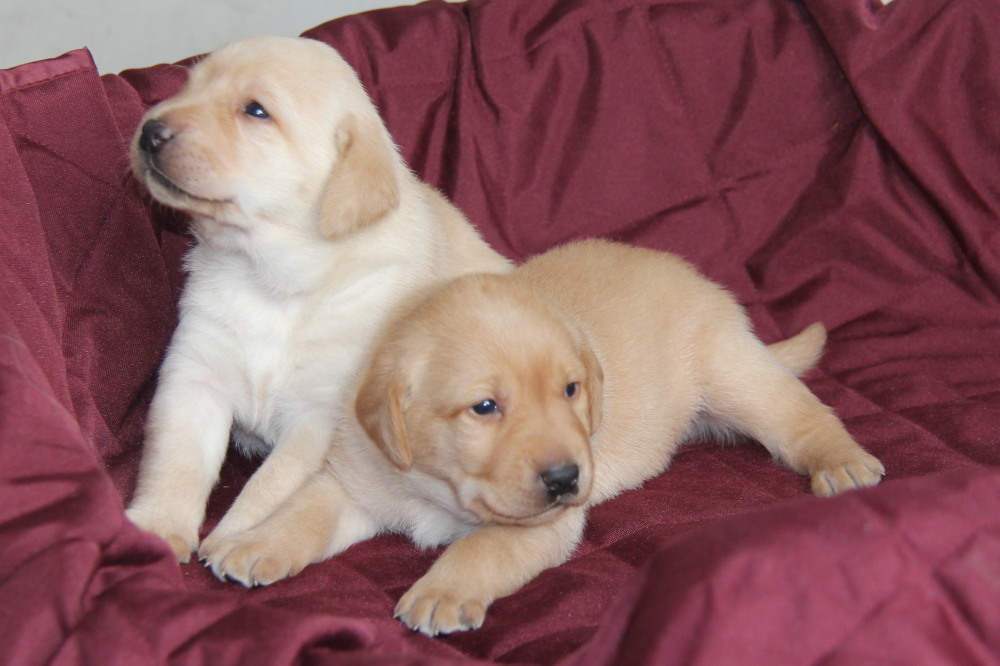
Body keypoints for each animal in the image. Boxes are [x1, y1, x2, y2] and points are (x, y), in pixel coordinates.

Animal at [126, 36, 512, 564]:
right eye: (190, 86)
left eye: (255, 110)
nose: (149, 131)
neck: (271, 278)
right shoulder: (195, 377)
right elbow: (176, 462)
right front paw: (156, 530)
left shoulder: (320, 417)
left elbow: (270, 486)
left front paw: (234, 540)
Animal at [201, 237, 884, 632]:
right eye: (485, 407)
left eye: (571, 390)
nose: (565, 478)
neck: (435, 487)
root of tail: (695, 276)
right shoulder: (355, 482)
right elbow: (306, 511)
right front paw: (254, 544)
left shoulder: (543, 523)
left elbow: (481, 548)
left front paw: (442, 591)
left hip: (734, 376)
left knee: (804, 415)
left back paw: (842, 462)